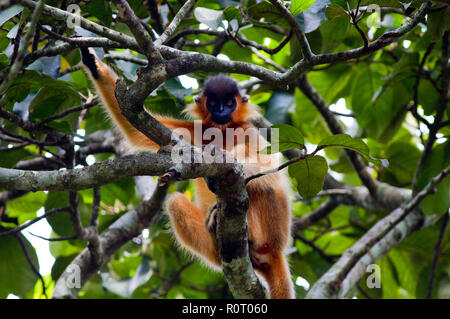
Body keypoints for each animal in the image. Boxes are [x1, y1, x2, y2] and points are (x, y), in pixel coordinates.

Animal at [79, 48, 298, 300]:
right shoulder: (199, 130)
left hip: (273, 230)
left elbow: (268, 167)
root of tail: (277, 252)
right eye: (213, 103)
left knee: (261, 186)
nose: (221, 111)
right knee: (175, 202)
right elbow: (136, 130)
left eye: (229, 102)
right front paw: (92, 62)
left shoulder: (248, 130)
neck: (223, 131)